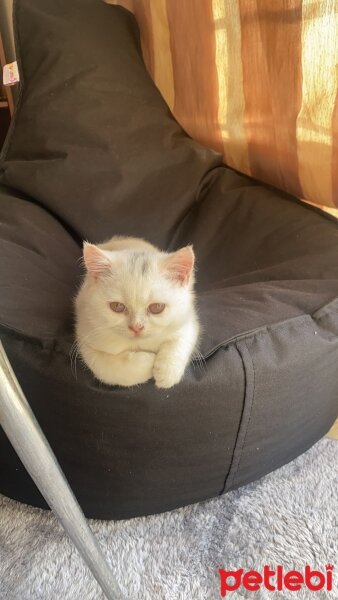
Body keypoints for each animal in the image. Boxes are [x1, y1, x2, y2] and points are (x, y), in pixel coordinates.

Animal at [74, 234, 198, 390]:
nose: (136, 327)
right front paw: (148, 361)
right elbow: (107, 368)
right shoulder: (86, 334)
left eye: (157, 307)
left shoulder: (188, 318)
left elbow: (181, 339)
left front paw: (166, 373)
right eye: (117, 306)